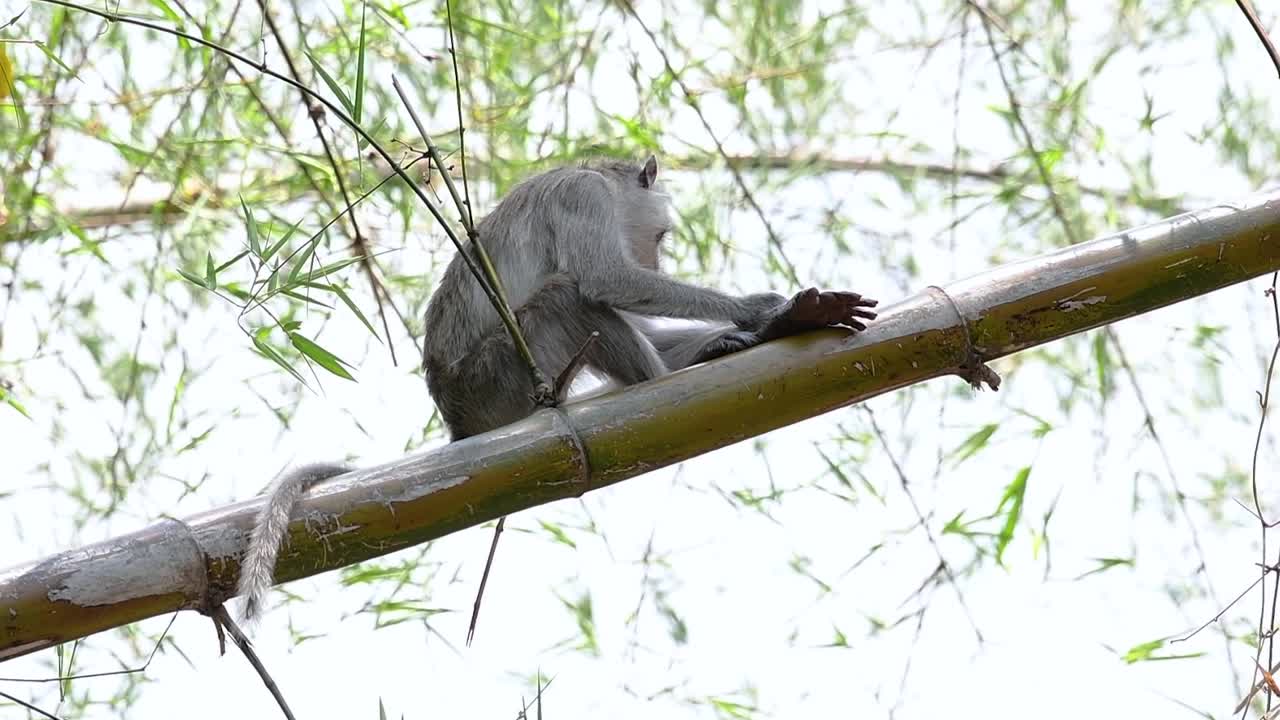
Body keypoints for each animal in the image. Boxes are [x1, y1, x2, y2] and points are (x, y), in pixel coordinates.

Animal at [236, 155, 877, 625]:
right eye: (664, 233)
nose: (658, 255)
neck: (604, 179)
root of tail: (458, 420)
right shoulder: (582, 197)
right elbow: (607, 281)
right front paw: (765, 312)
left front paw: (759, 327)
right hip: (501, 377)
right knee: (568, 295)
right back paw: (661, 383)